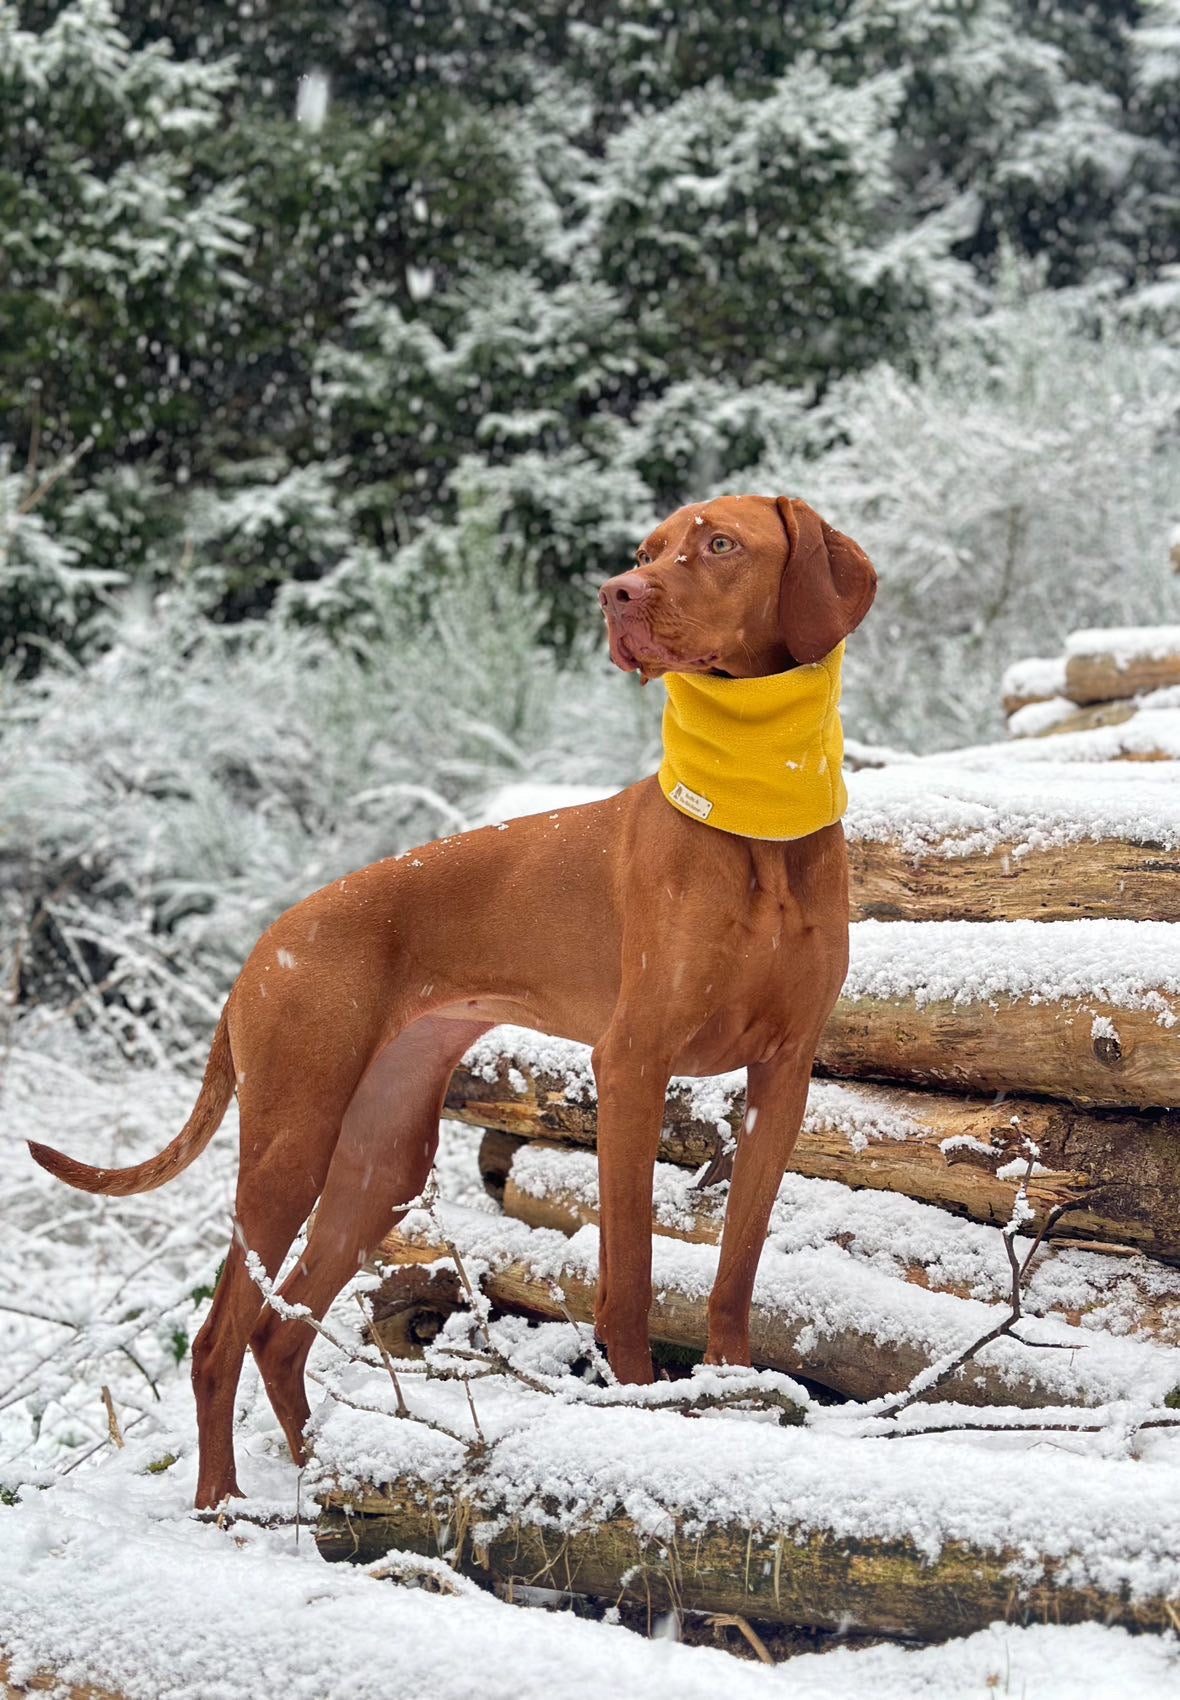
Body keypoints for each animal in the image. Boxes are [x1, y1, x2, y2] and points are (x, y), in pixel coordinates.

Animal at [27, 496, 877, 1516]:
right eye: (645, 549)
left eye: (719, 544)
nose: (616, 593)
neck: (754, 823)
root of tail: (263, 948)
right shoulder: (633, 1065)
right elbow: (627, 1276)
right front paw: (641, 1413)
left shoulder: (783, 1077)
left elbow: (736, 1268)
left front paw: (732, 1389)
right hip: (290, 1147)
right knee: (218, 1338)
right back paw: (224, 1505)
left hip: (380, 1157)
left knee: (280, 1332)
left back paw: (330, 1482)